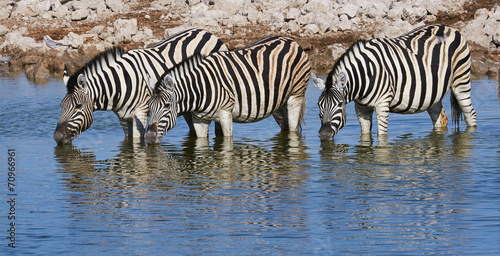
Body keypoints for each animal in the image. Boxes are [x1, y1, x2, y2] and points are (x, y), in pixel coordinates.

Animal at [54, 28, 227, 144]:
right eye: (61, 106)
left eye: (78, 106)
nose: (57, 137)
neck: (120, 84)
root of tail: (206, 32)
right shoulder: (123, 118)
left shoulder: (141, 114)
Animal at [143, 36, 310, 144]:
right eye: (149, 108)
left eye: (166, 106)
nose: (149, 137)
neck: (201, 88)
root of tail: (291, 40)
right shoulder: (199, 119)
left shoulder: (225, 114)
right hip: (278, 103)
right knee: (285, 126)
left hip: (295, 95)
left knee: (292, 129)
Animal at [312, 24, 476, 140]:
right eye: (319, 105)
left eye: (340, 104)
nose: (324, 135)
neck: (365, 76)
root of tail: (449, 27)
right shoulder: (361, 108)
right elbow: (365, 136)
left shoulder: (383, 104)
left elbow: (382, 137)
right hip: (432, 93)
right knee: (441, 119)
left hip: (461, 81)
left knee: (471, 115)